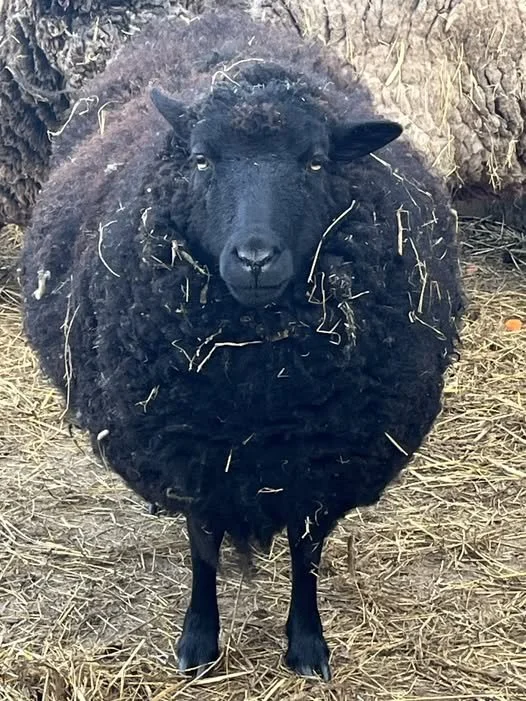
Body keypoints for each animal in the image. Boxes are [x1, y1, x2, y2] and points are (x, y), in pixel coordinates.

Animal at [21, 9, 463, 680]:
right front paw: (198, 640)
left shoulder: (322, 457)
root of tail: (213, 20)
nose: (255, 258)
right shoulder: (190, 449)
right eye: (203, 160)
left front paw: (306, 644)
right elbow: (203, 545)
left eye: (315, 162)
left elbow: (306, 553)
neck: (259, 386)